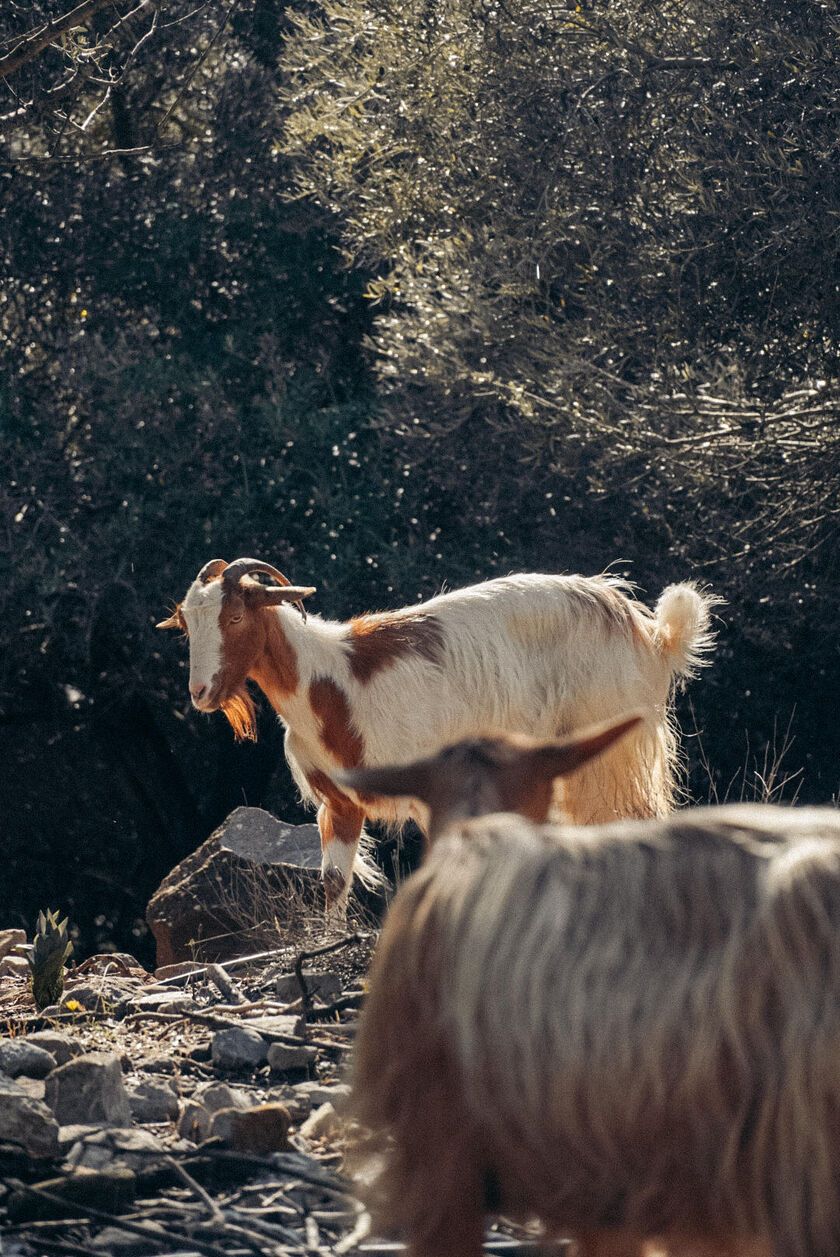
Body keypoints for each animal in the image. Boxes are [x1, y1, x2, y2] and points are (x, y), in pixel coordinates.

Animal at [158, 558, 717, 916]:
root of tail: (650, 633)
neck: (328, 682)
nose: (200, 694)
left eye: (234, 616)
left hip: (611, 751)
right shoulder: (339, 802)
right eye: (187, 625)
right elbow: (333, 883)